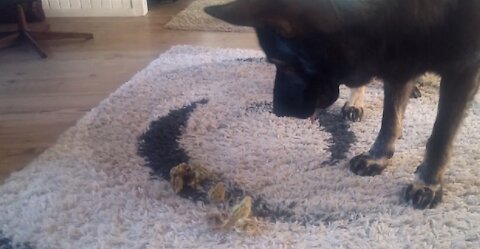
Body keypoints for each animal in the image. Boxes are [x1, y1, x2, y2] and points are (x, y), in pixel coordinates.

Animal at [204, 0, 480, 209]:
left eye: (280, 62)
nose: (278, 111)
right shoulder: (398, 61)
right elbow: (390, 120)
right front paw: (378, 157)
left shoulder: (462, 70)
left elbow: (440, 137)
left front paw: (427, 181)